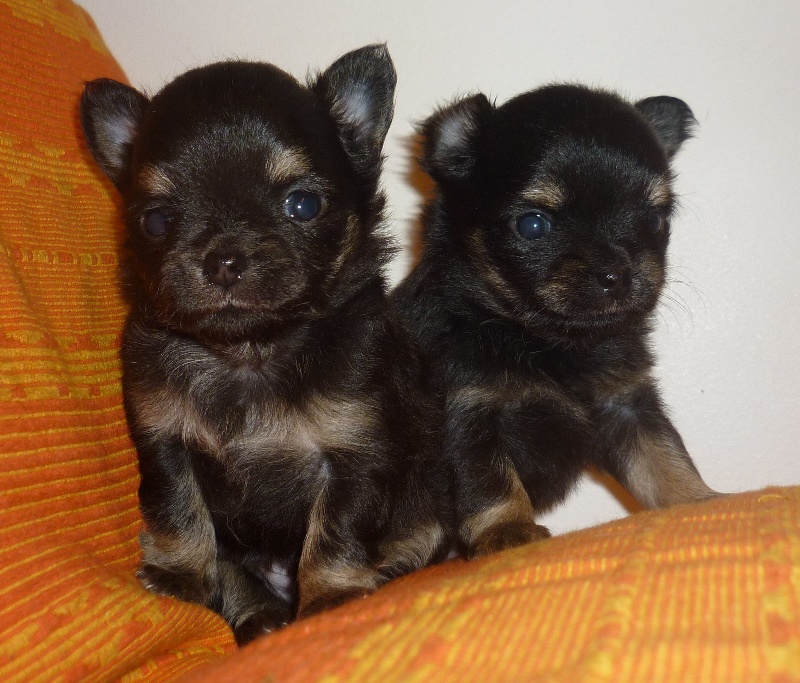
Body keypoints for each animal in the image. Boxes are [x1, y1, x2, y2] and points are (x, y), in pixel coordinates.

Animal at [84, 46, 454, 648]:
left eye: (302, 205)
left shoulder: (354, 451)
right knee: (235, 571)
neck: (249, 349)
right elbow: (177, 509)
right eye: (157, 220)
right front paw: (178, 574)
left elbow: (335, 528)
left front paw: (331, 594)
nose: (223, 259)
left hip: (425, 511)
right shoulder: (165, 437)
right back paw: (260, 615)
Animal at [394, 83, 720, 560]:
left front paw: (699, 499)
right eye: (533, 225)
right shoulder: (465, 411)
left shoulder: (626, 404)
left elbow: (663, 456)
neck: (542, 339)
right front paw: (508, 531)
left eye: (655, 220)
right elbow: (488, 480)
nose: (617, 274)